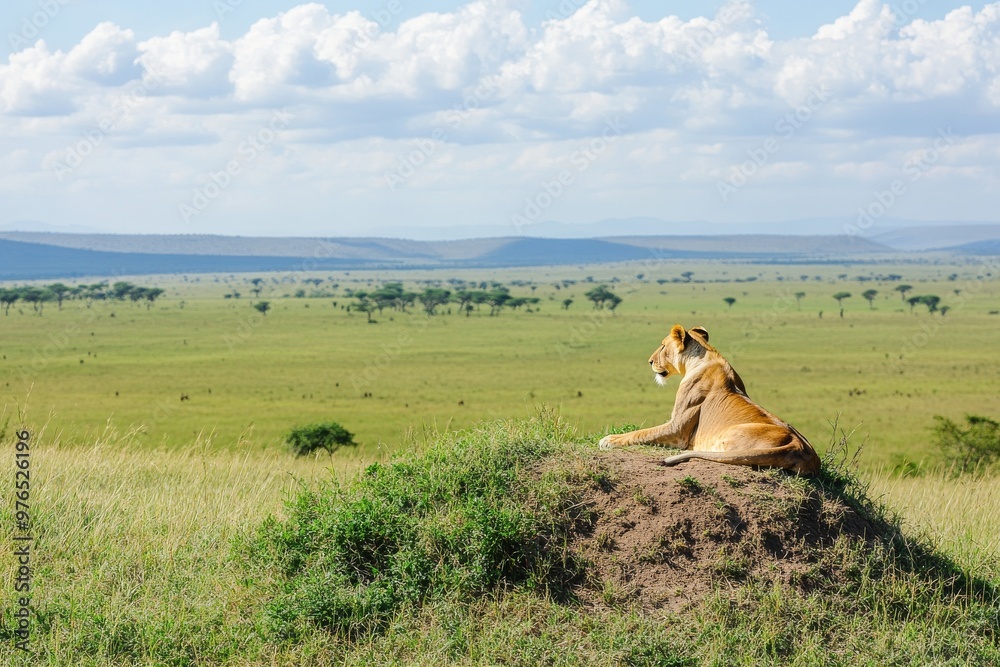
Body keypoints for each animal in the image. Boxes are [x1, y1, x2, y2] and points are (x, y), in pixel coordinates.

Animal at [598, 324, 821, 476]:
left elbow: (641, 433)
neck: (705, 357)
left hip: (728, 438)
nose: (650, 361)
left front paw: (609, 440)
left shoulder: (677, 429)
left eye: (662, 346)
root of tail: (798, 447)